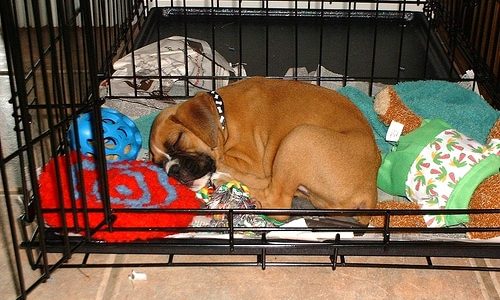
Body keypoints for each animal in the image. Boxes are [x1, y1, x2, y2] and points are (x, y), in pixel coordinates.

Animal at [150, 77, 380, 223]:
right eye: (159, 164)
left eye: (177, 140)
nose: (172, 171)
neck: (222, 115)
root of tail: (369, 189)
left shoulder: (247, 161)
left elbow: (225, 163)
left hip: (301, 137)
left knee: (278, 203)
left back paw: (224, 180)